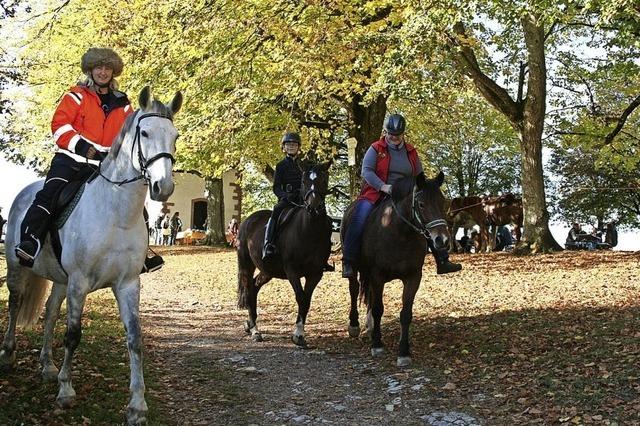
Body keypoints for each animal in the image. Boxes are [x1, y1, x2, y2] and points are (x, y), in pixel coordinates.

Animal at [0, 86, 181, 426]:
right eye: (145, 132)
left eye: (175, 136)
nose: (162, 187)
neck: (115, 212)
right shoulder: (80, 282)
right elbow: (73, 335)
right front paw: (66, 391)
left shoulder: (127, 284)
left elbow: (134, 338)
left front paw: (137, 405)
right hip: (19, 268)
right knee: (15, 305)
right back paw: (8, 353)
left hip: (60, 281)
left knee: (49, 314)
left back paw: (47, 366)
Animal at [236, 160, 336, 346]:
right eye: (304, 181)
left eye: (324, 180)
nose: (313, 207)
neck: (308, 230)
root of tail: (248, 220)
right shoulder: (292, 271)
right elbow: (301, 297)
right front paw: (298, 335)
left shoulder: (315, 273)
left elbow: (306, 301)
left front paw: (300, 334)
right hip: (246, 264)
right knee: (247, 286)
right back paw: (254, 329)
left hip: (268, 270)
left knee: (254, 287)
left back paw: (250, 324)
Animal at [340, 171, 450, 368]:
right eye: (421, 204)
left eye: (443, 202)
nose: (442, 240)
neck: (400, 233)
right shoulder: (378, 276)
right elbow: (378, 309)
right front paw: (377, 345)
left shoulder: (413, 277)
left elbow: (406, 314)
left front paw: (403, 352)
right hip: (356, 269)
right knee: (354, 290)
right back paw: (354, 325)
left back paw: (369, 326)